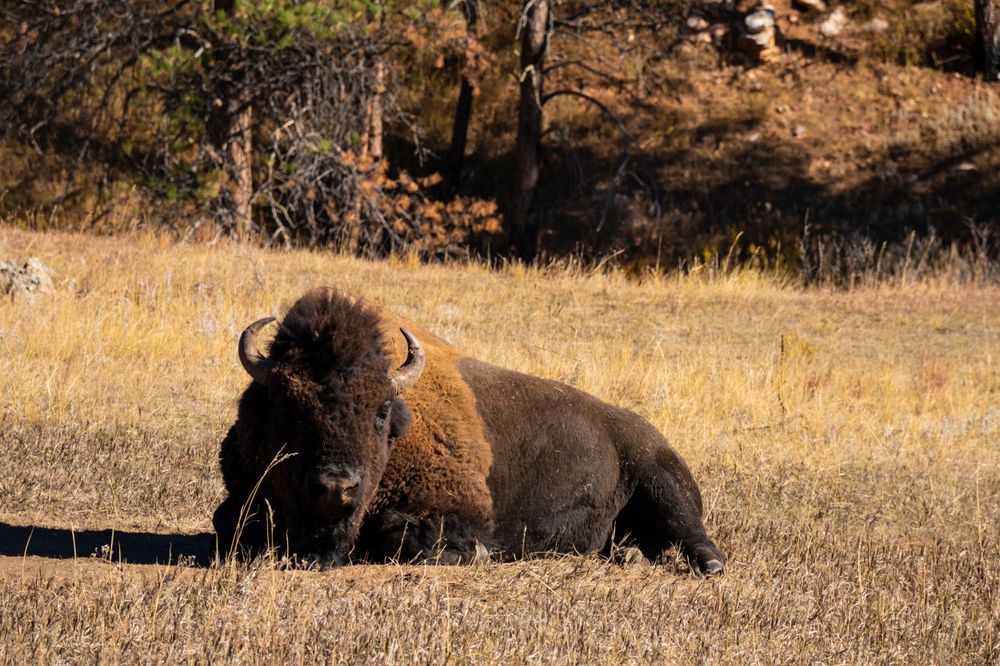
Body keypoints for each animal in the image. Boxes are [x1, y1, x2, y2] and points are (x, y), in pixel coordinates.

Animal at [214, 287, 725, 575]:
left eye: (380, 411)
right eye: (287, 406)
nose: (337, 487)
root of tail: (654, 437)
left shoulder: (460, 512)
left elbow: (406, 536)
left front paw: (477, 554)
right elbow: (227, 520)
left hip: (664, 486)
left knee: (695, 535)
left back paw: (707, 566)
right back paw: (627, 556)